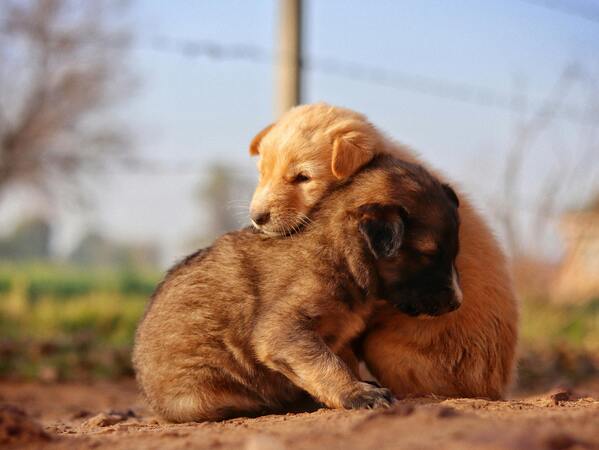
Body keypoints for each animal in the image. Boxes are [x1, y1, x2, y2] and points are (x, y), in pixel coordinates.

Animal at [132, 156, 460, 422]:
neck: (341, 251)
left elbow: (339, 361)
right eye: (429, 255)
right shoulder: (283, 330)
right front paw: (358, 393)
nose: (458, 303)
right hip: (201, 394)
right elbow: (327, 364)